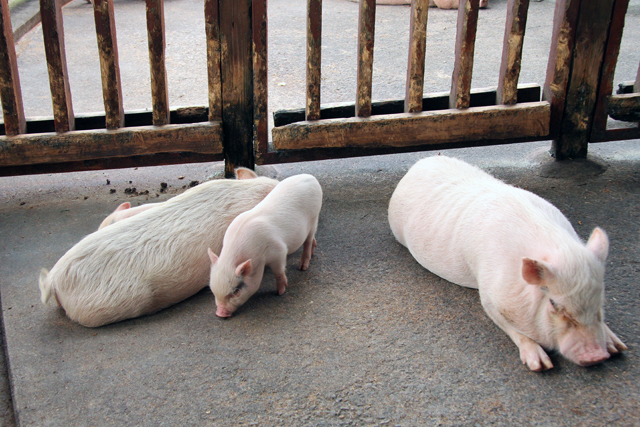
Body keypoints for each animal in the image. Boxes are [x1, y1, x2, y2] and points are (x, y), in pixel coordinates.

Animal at [208, 174, 322, 318]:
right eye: (212, 290)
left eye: (236, 291)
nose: (220, 314)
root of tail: (310, 177)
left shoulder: (278, 251)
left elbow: (279, 272)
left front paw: (280, 292)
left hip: (314, 217)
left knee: (308, 240)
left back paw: (303, 267)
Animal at [388, 156, 628, 372]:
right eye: (553, 303)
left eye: (600, 297)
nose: (597, 357)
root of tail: (419, 164)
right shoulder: (490, 294)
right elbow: (511, 327)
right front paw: (540, 366)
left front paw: (618, 347)